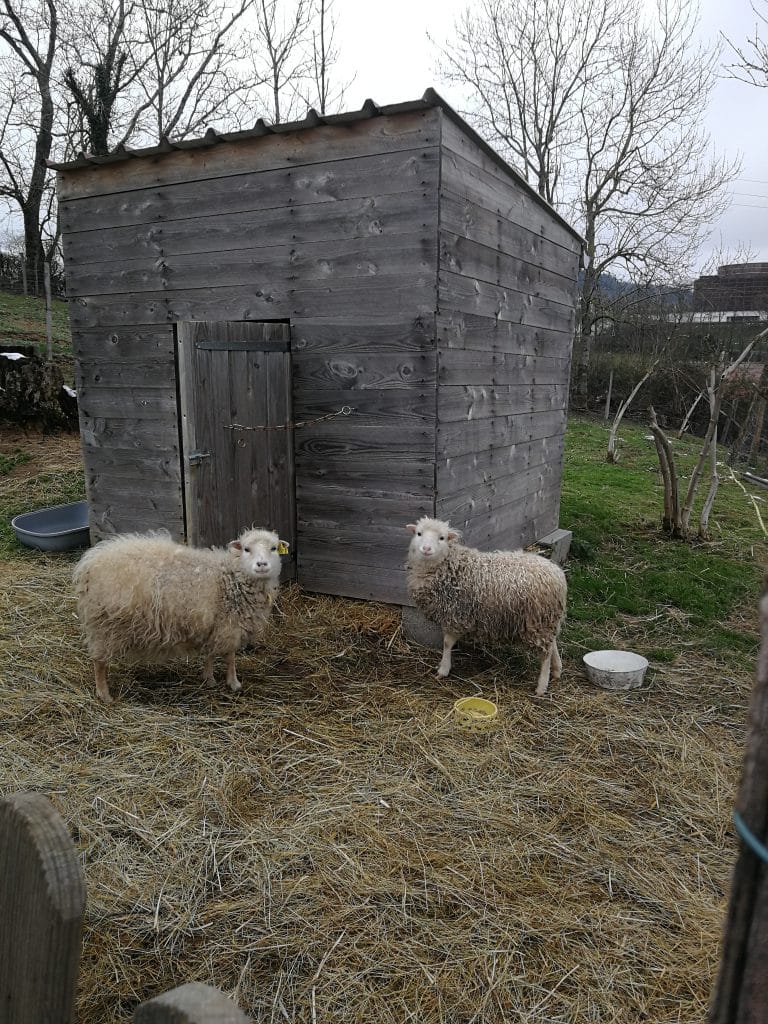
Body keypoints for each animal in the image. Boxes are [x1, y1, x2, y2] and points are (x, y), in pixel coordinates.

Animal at [74, 528, 288, 704]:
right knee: (99, 663)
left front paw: (209, 679)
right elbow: (230, 657)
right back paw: (104, 694)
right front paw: (233, 683)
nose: (262, 564)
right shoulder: (228, 626)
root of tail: (88, 565)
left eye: (274, 548)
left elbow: (210, 653)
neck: (230, 578)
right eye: (246, 549)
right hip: (105, 625)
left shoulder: (213, 625)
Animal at [409, 520, 565, 696]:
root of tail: (558, 574)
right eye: (419, 533)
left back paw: (541, 686)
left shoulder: (456, 615)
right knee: (553, 643)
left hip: (539, 619)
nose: (426, 549)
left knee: (545, 654)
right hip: (545, 620)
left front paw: (443, 669)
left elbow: (447, 643)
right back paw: (557, 670)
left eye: (442, 538)